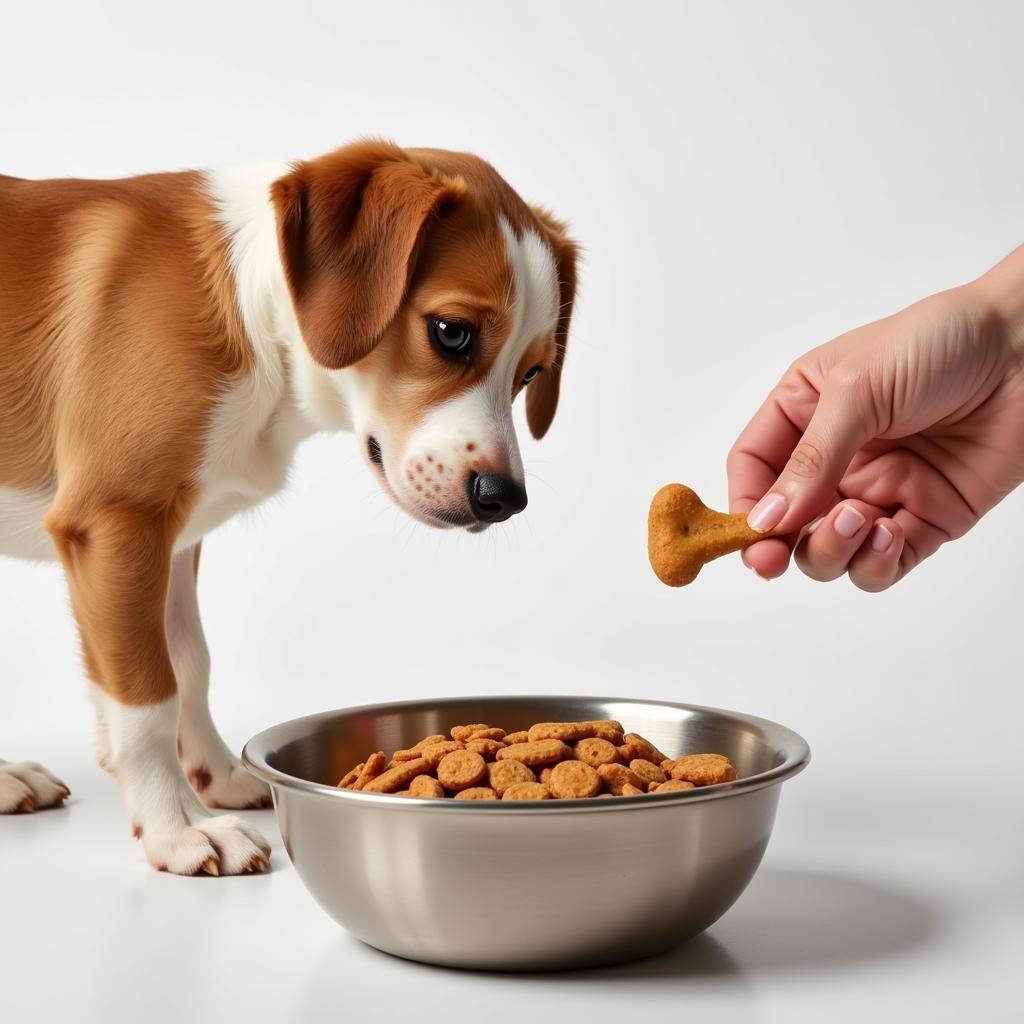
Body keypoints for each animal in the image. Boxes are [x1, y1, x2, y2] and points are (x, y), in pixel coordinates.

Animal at [0, 140, 577, 876]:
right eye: (451, 333)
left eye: (532, 373)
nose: (504, 499)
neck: (255, 318)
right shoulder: (116, 525)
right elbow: (149, 697)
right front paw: (176, 827)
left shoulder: (175, 542)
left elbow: (190, 665)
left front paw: (213, 775)